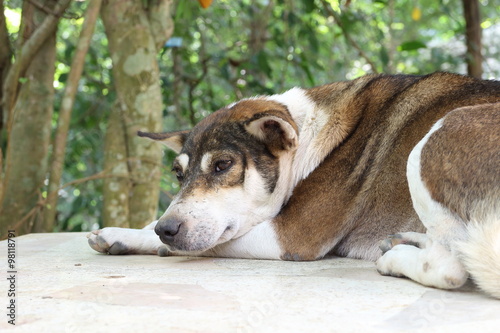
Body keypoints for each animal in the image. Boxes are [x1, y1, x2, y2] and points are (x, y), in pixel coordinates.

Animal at [89, 72, 500, 298]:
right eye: (178, 174)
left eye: (223, 165)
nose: (167, 229)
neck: (307, 139)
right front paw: (122, 233)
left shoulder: (291, 235)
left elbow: (216, 242)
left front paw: (143, 239)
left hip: (433, 139)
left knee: (451, 266)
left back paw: (398, 258)